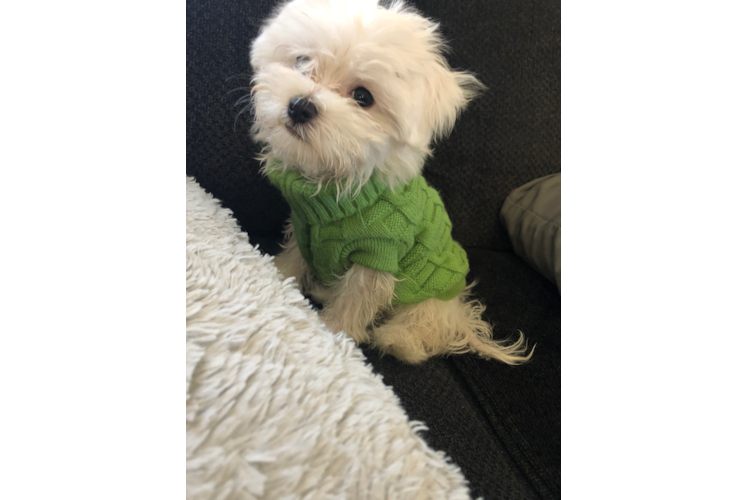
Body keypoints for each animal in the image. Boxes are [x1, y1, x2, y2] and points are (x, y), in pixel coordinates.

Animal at [248, 0, 536, 364]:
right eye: (301, 61)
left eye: (362, 96)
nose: (300, 106)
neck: (337, 182)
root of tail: (460, 314)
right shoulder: (302, 229)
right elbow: (293, 258)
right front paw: (278, 278)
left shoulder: (378, 254)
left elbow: (355, 301)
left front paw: (332, 336)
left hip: (431, 288)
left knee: (428, 324)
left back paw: (400, 340)